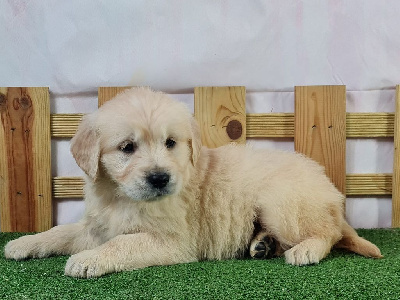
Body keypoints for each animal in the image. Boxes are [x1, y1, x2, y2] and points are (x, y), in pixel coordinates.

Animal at [5, 87, 382, 278]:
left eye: (170, 143)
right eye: (127, 148)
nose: (160, 178)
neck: (122, 197)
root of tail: (332, 194)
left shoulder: (172, 241)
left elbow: (123, 243)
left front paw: (88, 260)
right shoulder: (97, 225)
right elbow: (61, 232)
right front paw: (23, 243)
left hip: (282, 203)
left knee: (328, 233)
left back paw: (306, 250)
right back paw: (263, 244)